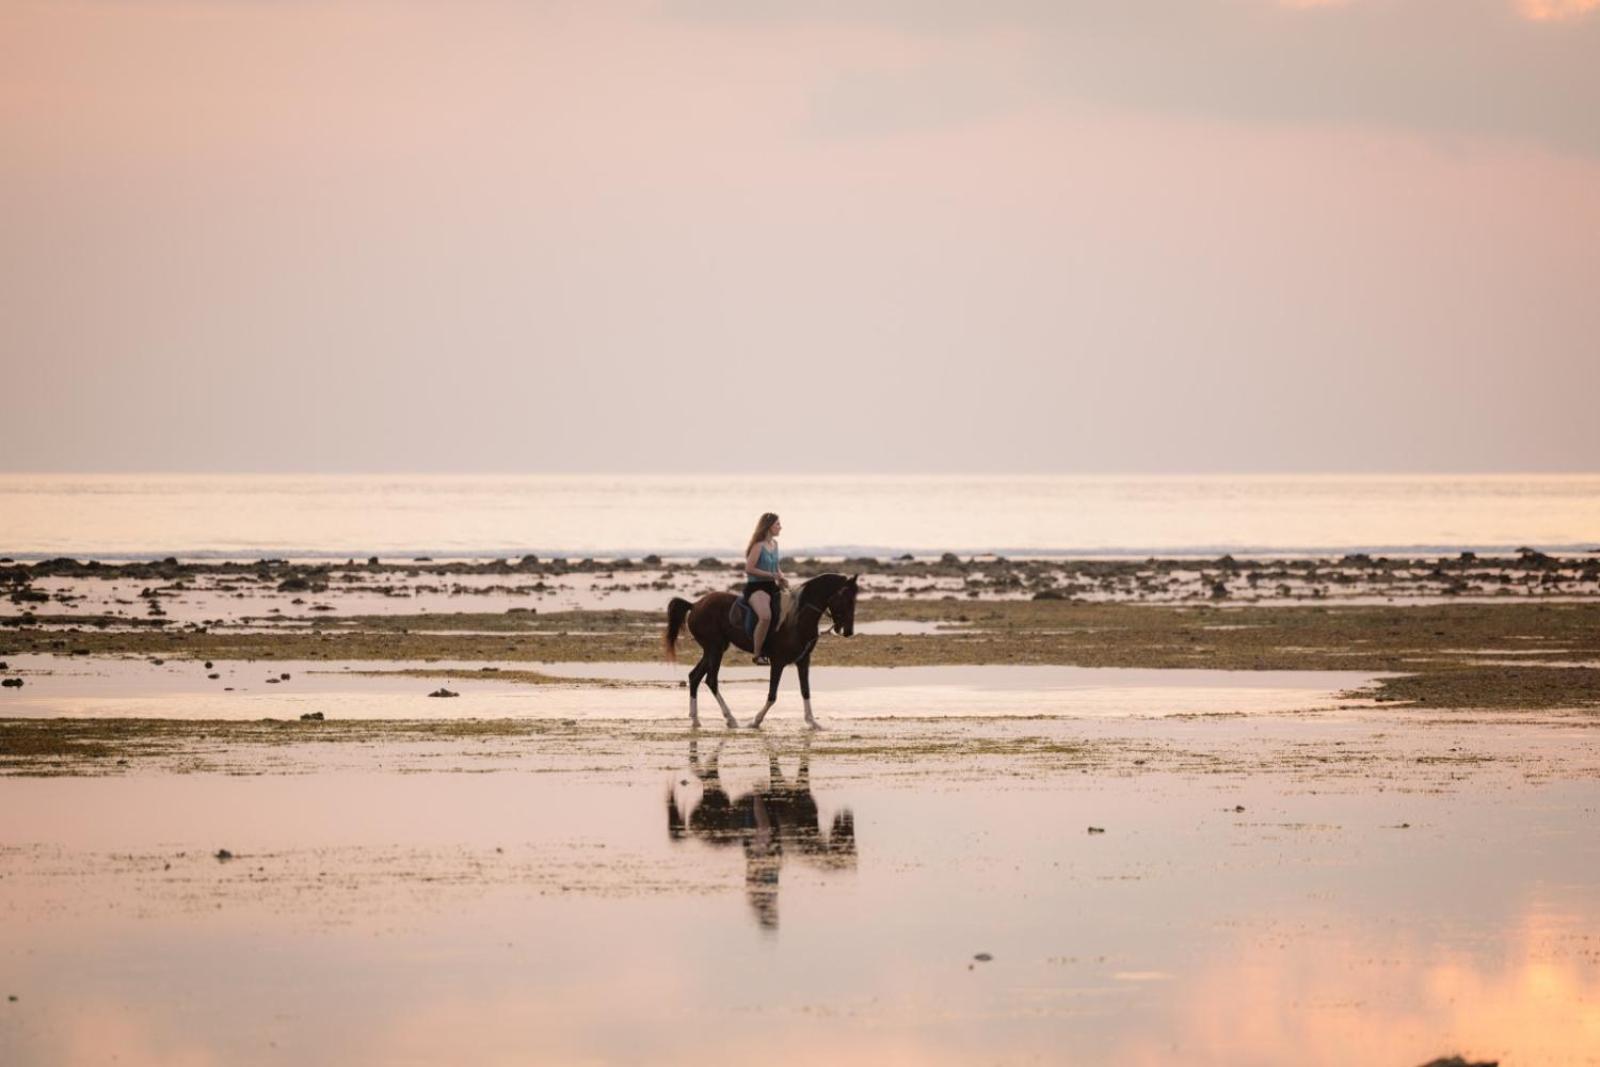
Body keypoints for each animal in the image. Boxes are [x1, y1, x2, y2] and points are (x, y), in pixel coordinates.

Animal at [662, 572, 864, 729]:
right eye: (844, 597)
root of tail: (695, 604)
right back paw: (731, 719)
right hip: (715, 649)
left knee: (694, 677)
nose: (848, 631)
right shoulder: (778, 662)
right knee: (711, 680)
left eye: (854, 599)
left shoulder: (803, 660)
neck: (797, 617)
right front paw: (755, 721)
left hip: (713, 649)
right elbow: (772, 695)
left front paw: (812, 722)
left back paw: (696, 720)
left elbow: (805, 691)